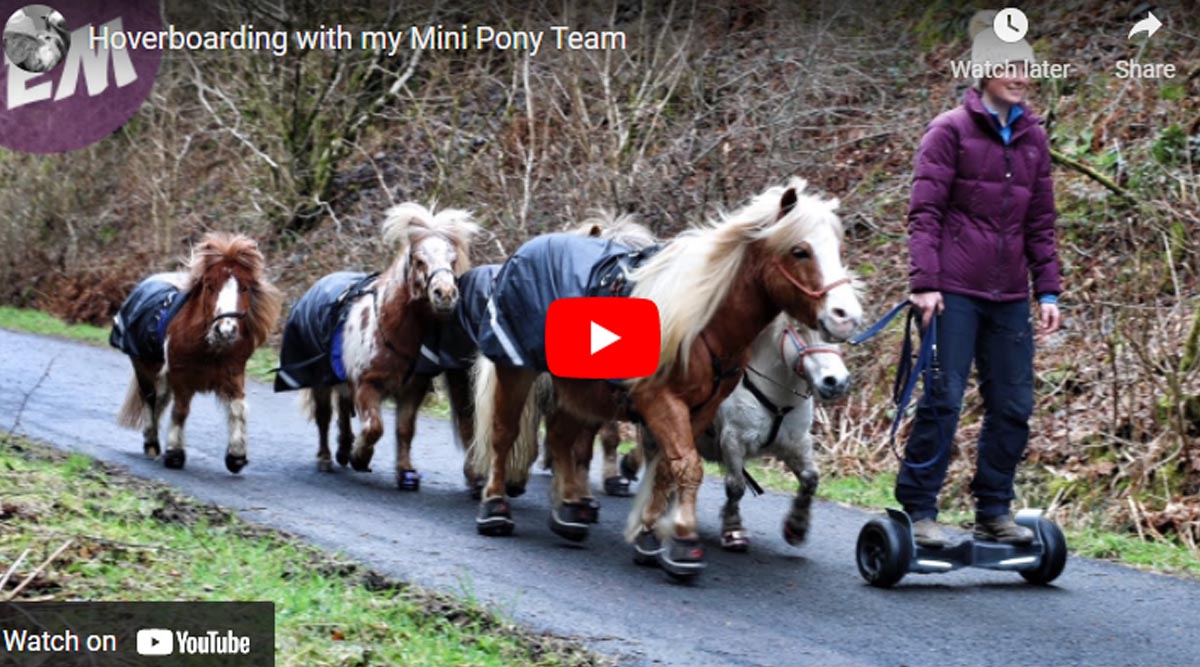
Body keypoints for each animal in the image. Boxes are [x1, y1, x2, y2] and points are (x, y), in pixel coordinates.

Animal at [114, 231, 283, 472]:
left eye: (245, 287)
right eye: (210, 286)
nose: (226, 330)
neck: (209, 348)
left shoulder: (233, 374)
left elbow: (238, 408)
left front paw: (236, 456)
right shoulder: (181, 376)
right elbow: (180, 410)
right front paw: (175, 453)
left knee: (160, 399)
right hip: (143, 366)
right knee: (149, 399)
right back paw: (152, 443)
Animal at [470, 178, 864, 578]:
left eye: (837, 248)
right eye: (800, 251)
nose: (846, 316)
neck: (703, 322)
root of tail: (528, 248)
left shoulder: (701, 410)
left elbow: (668, 468)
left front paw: (648, 537)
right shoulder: (662, 402)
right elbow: (688, 467)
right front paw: (684, 541)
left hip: (579, 388)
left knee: (565, 439)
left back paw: (569, 512)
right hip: (517, 370)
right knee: (504, 434)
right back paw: (495, 507)